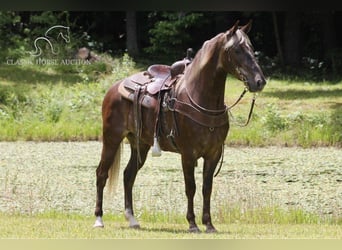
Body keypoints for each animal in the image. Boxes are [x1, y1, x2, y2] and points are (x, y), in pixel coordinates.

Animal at [93, 20, 268, 233]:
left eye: (251, 48)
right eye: (236, 50)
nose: (259, 82)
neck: (200, 97)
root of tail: (114, 88)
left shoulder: (214, 154)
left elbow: (207, 188)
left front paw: (209, 224)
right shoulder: (188, 154)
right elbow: (190, 187)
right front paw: (192, 224)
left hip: (140, 144)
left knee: (128, 175)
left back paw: (132, 219)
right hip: (111, 138)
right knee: (101, 174)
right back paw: (99, 219)